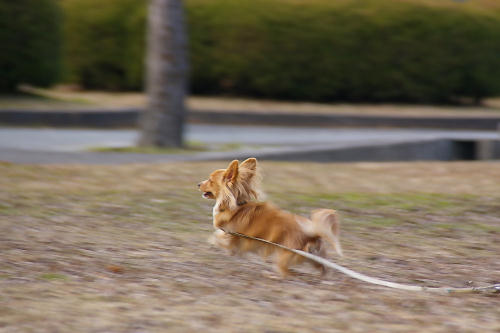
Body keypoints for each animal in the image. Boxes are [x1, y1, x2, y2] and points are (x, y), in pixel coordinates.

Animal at [197, 157, 342, 276]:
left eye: (210, 180)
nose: (198, 184)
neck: (236, 205)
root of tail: (311, 234)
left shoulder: (232, 234)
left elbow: (220, 238)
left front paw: (216, 242)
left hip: (285, 255)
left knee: (286, 271)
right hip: (312, 256)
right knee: (321, 267)